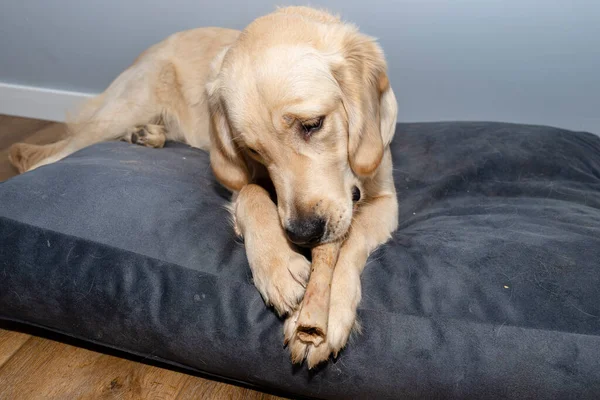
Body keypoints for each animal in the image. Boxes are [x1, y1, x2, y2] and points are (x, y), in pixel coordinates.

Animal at [9, 7, 398, 368]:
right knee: (53, 153)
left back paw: (146, 134)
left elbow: (352, 241)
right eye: (252, 150)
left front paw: (330, 313)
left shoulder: (385, 198)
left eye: (313, 124)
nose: (303, 234)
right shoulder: (240, 177)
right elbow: (253, 195)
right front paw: (278, 265)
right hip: (124, 108)